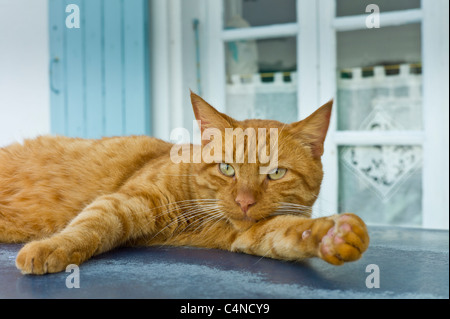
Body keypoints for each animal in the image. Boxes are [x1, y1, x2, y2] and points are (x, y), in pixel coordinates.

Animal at [0, 92, 370, 276]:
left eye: (276, 173)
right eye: (227, 168)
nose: (245, 202)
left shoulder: (249, 233)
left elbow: (287, 233)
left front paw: (333, 234)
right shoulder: (123, 201)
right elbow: (87, 227)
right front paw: (49, 247)